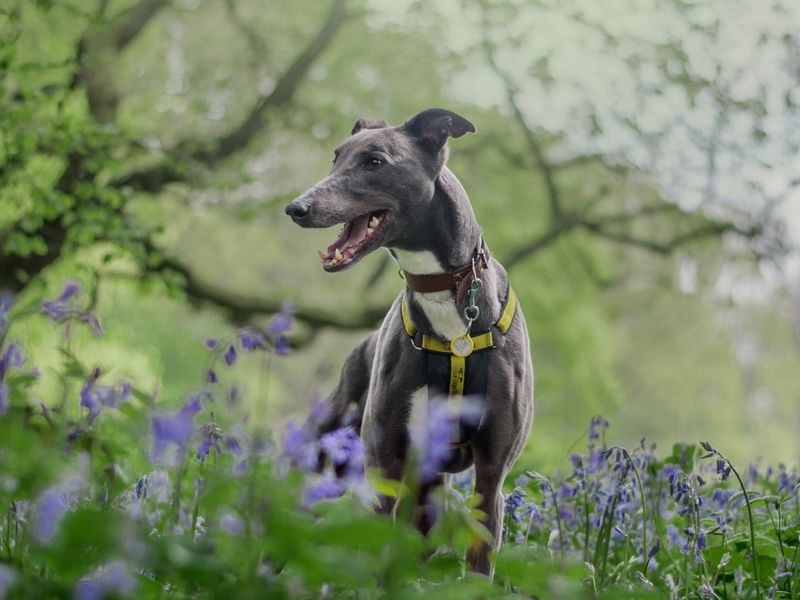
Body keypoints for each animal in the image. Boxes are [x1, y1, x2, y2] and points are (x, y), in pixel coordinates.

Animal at [284, 109, 536, 576]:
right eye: (336, 158)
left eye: (375, 162)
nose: (297, 208)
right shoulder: (384, 461)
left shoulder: (491, 477)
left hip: (427, 507)